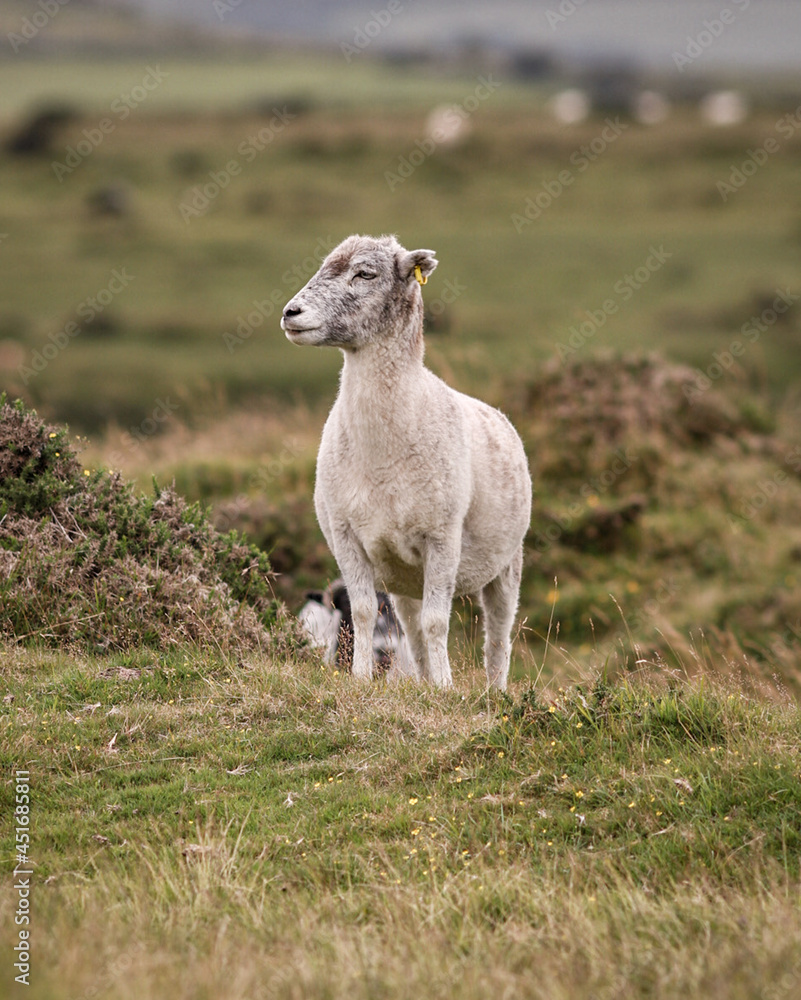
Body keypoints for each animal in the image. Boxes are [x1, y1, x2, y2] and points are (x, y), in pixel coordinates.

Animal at [281, 234, 532, 689]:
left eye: (365, 273)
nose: (291, 313)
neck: (382, 458)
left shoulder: (442, 539)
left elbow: (438, 622)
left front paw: (447, 687)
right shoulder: (347, 536)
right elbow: (364, 613)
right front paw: (361, 679)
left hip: (507, 564)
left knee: (497, 637)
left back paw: (495, 691)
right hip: (403, 578)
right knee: (412, 634)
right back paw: (422, 682)